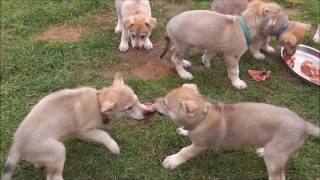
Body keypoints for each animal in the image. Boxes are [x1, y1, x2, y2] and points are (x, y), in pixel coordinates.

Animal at [0, 73, 154, 180]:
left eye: (137, 100)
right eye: (128, 108)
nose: (146, 113)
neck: (98, 102)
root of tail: (17, 146)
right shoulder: (84, 131)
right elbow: (103, 135)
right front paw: (114, 147)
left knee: (39, 164)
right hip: (58, 151)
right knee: (53, 177)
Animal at [152, 84, 320, 180]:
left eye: (166, 103)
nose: (152, 102)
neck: (203, 118)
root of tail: (304, 124)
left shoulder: (200, 145)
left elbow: (185, 151)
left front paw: (172, 161)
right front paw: (183, 131)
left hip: (275, 157)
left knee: (279, 177)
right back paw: (261, 150)